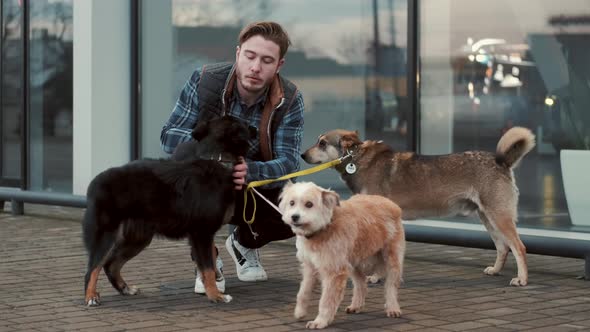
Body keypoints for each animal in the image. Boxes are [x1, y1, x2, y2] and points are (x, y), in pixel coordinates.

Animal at [82, 116, 254, 306]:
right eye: (244, 125)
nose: (254, 128)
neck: (218, 159)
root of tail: (94, 182)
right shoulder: (201, 233)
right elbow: (208, 267)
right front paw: (215, 295)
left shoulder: (205, 235)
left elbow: (211, 261)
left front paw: (214, 286)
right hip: (106, 235)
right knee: (93, 268)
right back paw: (91, 296)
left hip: (138, 239)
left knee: (111, 264)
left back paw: (125, 288)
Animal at [280, 182, 404, 330]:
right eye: (292, 203)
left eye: (309, 204)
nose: (294, 217)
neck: (325, 226)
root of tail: (389, 202)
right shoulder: (310, 267)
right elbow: (303, 292)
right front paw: (300, 311)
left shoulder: (334, 272)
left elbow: (326, 300)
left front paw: (320, 321)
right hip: (354, 262)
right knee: (360, 284)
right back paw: (356, 305)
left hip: (392, 260)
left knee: (391, 286)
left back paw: (393, 308)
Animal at [302, 127, 540, 288]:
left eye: (322, 143)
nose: (303, 155)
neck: (357, 159)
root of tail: (501, 162)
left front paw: (377, 277)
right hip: (487, 217)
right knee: (503, 247)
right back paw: (496, 270)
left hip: (499, 216)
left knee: (519, 247)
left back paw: (522, 279)